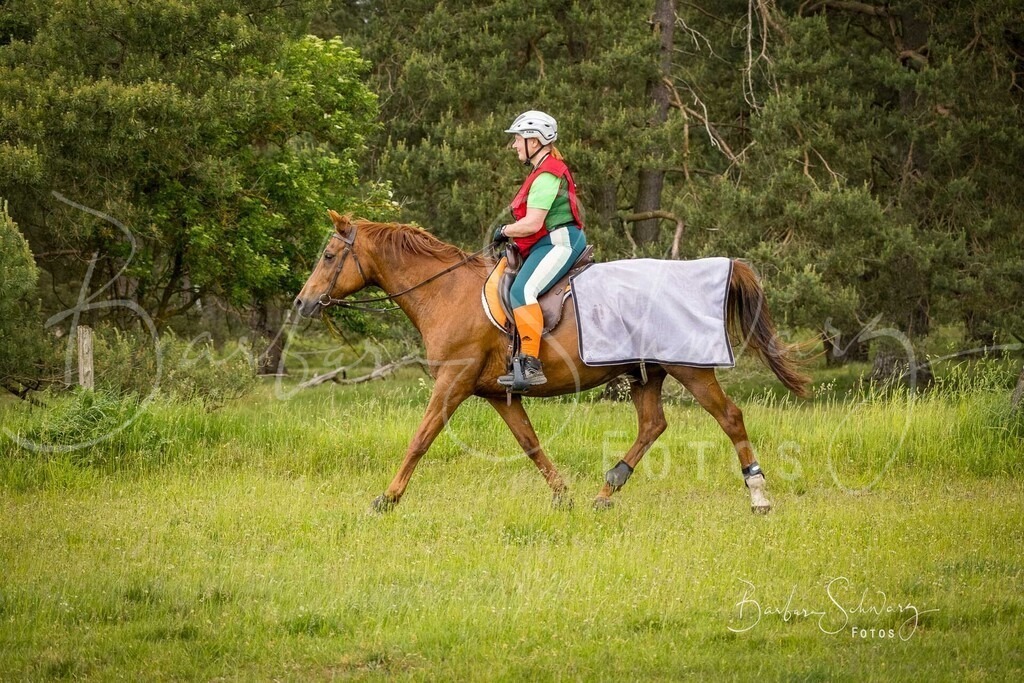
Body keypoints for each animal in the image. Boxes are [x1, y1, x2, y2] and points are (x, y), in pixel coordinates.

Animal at [294, 211, 811, 513]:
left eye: (329, 255)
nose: (302, 304)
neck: (445, 292)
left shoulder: (453, 383)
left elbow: (421, 439)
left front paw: (387, 498)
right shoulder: (497, 394)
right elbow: (530, 444)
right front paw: (563, 497)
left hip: (691, 369)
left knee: (730, 418)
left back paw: (759, 497)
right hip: (646, 373)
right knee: (652, 425)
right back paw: (607, 490)